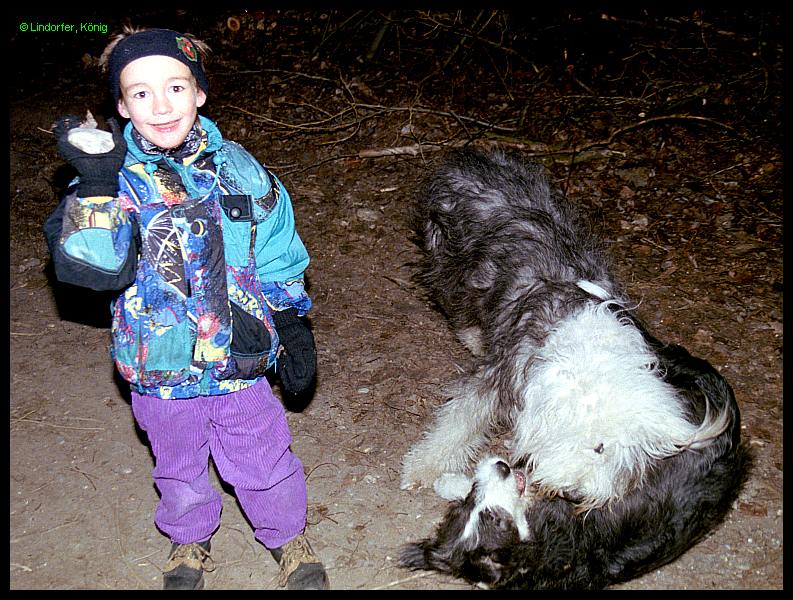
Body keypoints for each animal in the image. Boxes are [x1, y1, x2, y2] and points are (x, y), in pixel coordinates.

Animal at [398, 149, 746, 589]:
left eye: (622, 458)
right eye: (596, 445)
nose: (578, 497)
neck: (585, 349)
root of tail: (475, 155)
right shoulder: (502, 375)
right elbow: (460, 420)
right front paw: (423, 466)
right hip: (449, 267)